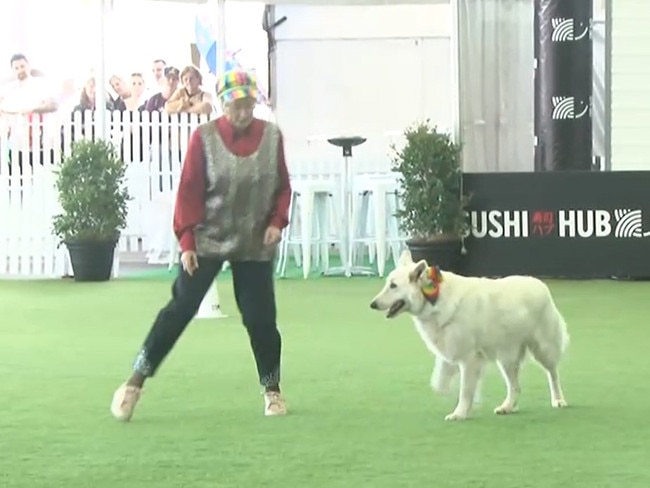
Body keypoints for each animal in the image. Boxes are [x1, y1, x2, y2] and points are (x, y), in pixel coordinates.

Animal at [370, 250, 568, 422]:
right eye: (388, 284)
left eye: (393, 286)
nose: (372, 304)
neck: (435, 299)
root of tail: (540, 284)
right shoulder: (451, 352)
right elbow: (440, 383)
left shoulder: (469, 358)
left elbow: (465, 390)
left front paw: (460, 413)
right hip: (506, 359)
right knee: (515, 387)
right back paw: (508, 407)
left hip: (543, 351)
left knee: (553, 374)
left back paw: (558, 400)